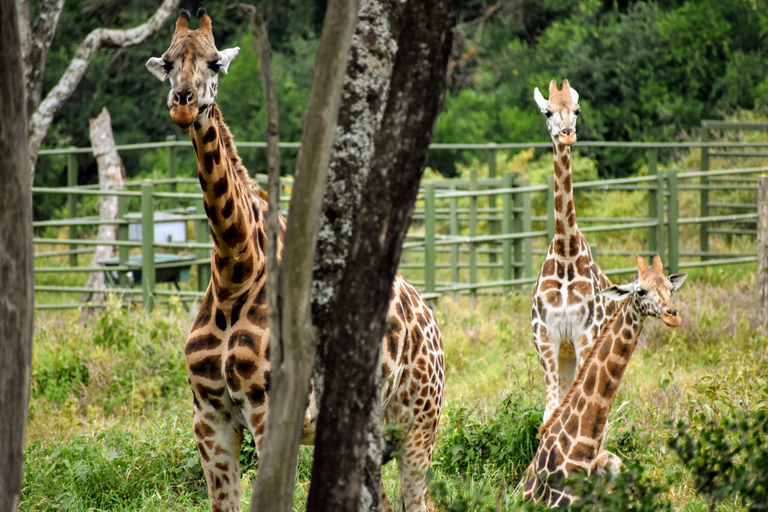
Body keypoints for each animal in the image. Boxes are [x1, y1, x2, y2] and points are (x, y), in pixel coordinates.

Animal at [146, 9, 444, 512]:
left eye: (214, 63)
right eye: (167, 64)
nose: (183, 104)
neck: (235, 274)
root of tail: (431, 319)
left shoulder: (270, 410)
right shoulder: (208, 417)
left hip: (419, 420)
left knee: (418, 499)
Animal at [528, 80, 616, 426]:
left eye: (577, 110)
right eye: (547, 112)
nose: (566, 134)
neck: (566, 251)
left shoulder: (585, 336)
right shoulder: (547, 340)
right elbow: (551, 411)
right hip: (563, 355)